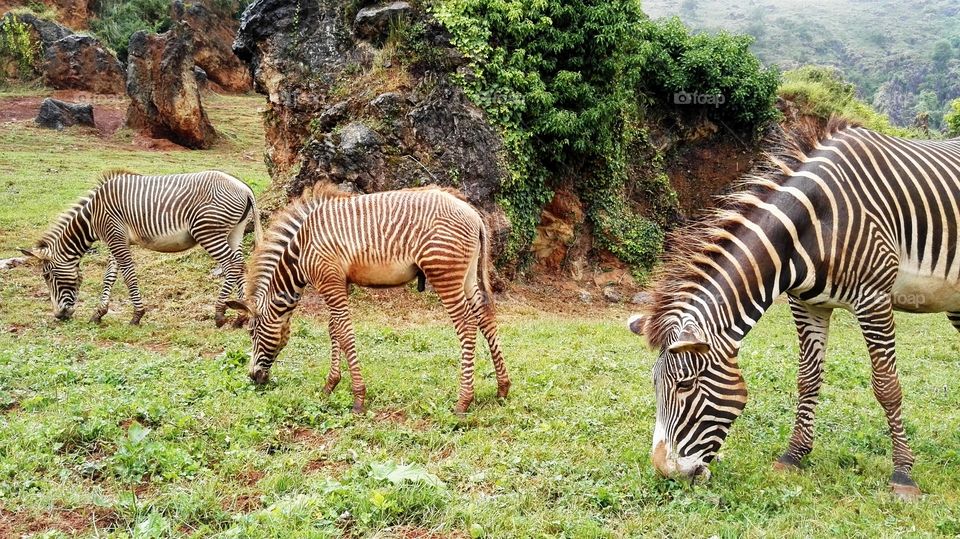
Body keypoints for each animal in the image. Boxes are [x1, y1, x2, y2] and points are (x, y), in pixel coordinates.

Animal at [20, 170, 261, 327]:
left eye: (47, 276)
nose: (59, 316)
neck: (92, 216)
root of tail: (244, 188)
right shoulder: (116, 240)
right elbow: (109, 276)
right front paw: (99, 313)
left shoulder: (115, 237)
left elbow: (128, 275)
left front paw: (137, 315)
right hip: (234, 232)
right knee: (241, 265)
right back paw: (241, 314)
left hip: (208, 232)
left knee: (232, 265)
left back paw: (220, 313)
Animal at [225, 184, 510, 414]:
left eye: (251, 332)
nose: (253, 377)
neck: (301, 248)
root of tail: (471, 211)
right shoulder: (340, 282)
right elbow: (334, 330)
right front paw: (330, 385)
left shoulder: (329, 282)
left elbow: (345, 332)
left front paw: (358, 398)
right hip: (468, 276)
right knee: (486, 318)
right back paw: (503, 388)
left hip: (444, 275)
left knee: (467, 325)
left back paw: (463, 401)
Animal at [627, 117, 960, 500]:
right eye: (655, 385)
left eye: (685, 386)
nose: (666, 472)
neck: (813, 225)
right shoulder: (806, 303)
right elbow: (808, 379)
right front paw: (793, 456)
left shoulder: (873, 299)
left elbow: (887, 387)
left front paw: (903, 474)